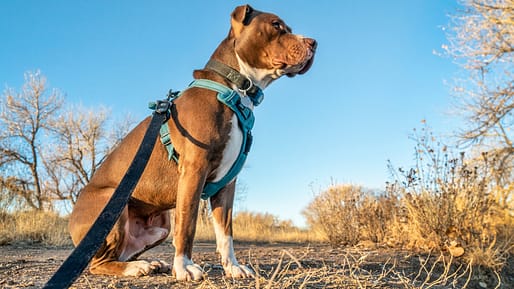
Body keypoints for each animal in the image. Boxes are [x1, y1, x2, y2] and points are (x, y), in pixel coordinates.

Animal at [68, 3, 314, 280]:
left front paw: (233, 267)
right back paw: (136, 267)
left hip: (160, 225)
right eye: (276, 25)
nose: (314, 43)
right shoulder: (194, 170)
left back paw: (151, 263)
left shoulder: (226, 185)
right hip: (112, 205)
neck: (234, 89)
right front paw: (184, 267)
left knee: (120, 254)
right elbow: (187, 224)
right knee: (98, 263)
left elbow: (226, 232)